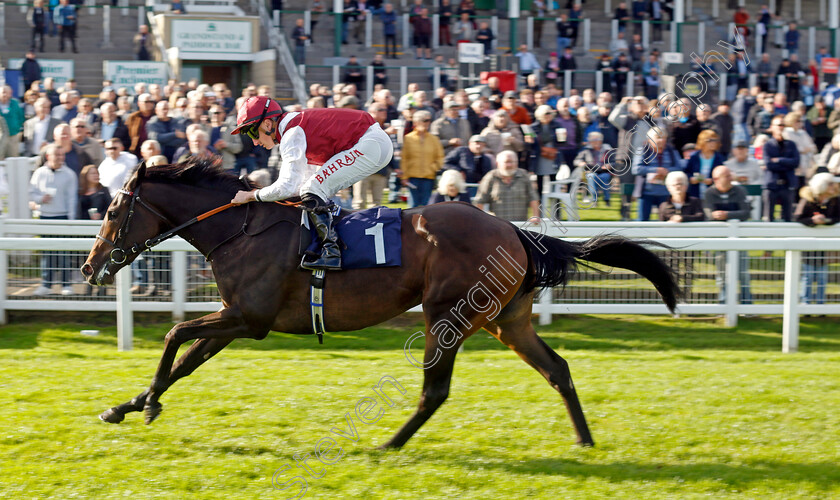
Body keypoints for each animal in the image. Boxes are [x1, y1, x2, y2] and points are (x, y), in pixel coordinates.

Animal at [82, 160, 680, 450]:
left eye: (112, 211)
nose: (90, 268)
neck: (242, 229)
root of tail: (513, 229)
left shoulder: (248, 319)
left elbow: (173, 336)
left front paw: (147, 405)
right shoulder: (238, 320)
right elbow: (185, 360)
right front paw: (127, 406)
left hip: (449, 315)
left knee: (435, 391)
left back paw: (388, 443)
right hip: (506, 322)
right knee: (557, 369)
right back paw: (584, 438)